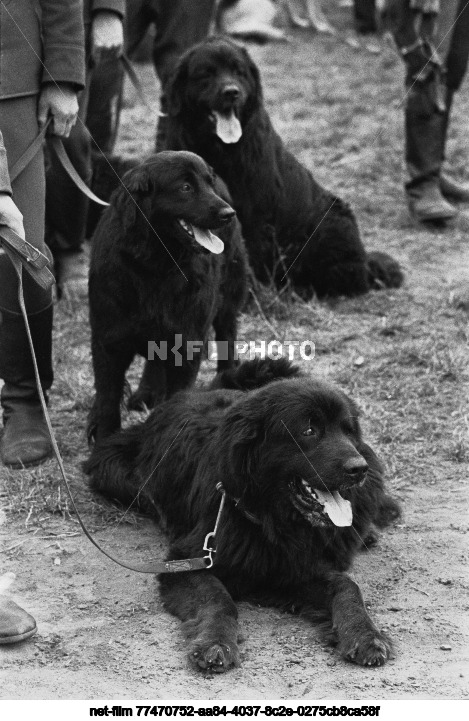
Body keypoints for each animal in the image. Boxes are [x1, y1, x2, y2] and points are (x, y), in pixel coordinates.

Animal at [86, 358, 400, 672]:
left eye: (348, 431)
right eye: (309, 431)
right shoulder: (186, 561)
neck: (272, 519)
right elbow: (218, 598)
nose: (358, 468)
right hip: (113, 470)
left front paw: (364, 634)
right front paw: (215, 641)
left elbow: (346, 586)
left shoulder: (295, 568)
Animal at [88, 150, 249, 442]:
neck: (154, 265)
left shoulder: (186, 342)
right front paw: (103, 441)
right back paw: (147, 392)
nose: (228, 214)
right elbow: (107, 398)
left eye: (208, 183)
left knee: (227, 334)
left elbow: (179, 396)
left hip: (230, 295)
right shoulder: (108, 341)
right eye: (185, 187)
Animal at [165, 37, 402, 298]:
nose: (232, 92)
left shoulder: (257, 216)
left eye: (239, 72)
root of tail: (367, 264)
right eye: (206, 73)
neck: (220, 149)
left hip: (334, 221)